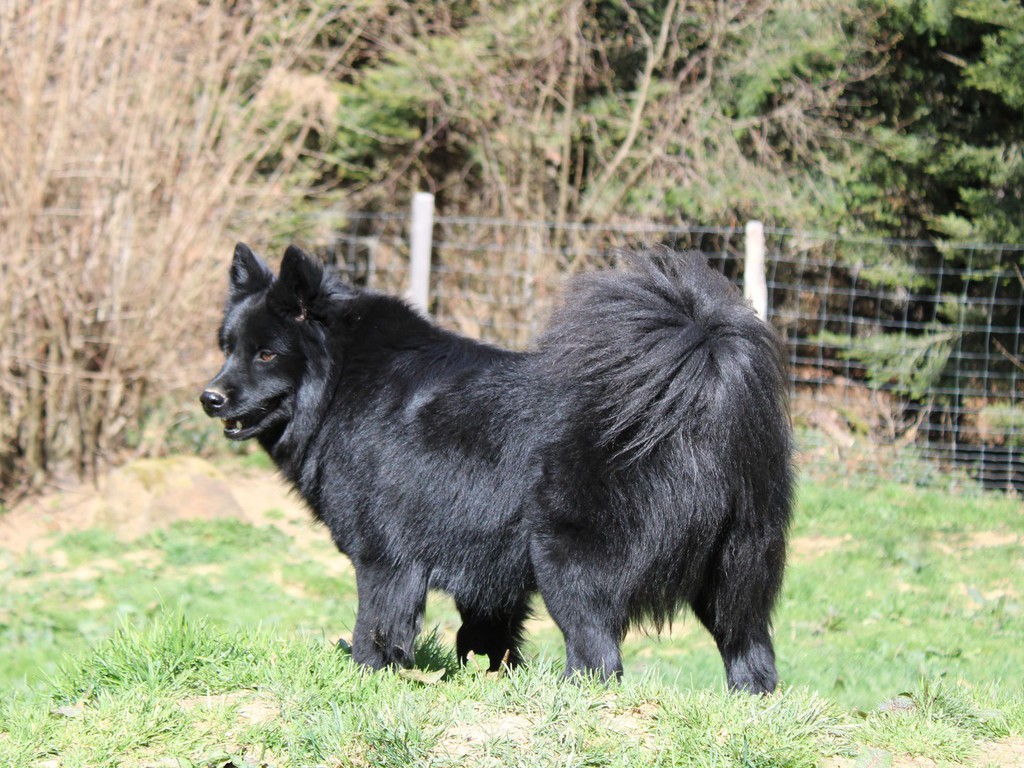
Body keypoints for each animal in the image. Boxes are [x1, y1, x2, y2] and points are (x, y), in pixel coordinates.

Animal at [201, 242, 793, 693]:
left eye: (267, 355)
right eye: (227, 347)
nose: (209, 397)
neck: (344, 378)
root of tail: (699, 403)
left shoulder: (384, 558)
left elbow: (375, 629)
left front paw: (364, 677)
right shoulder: (486, 566)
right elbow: (486, 637)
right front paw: (488, 680)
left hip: (569, 565)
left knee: (599, 660)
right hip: (735, 576)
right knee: (751, 656)